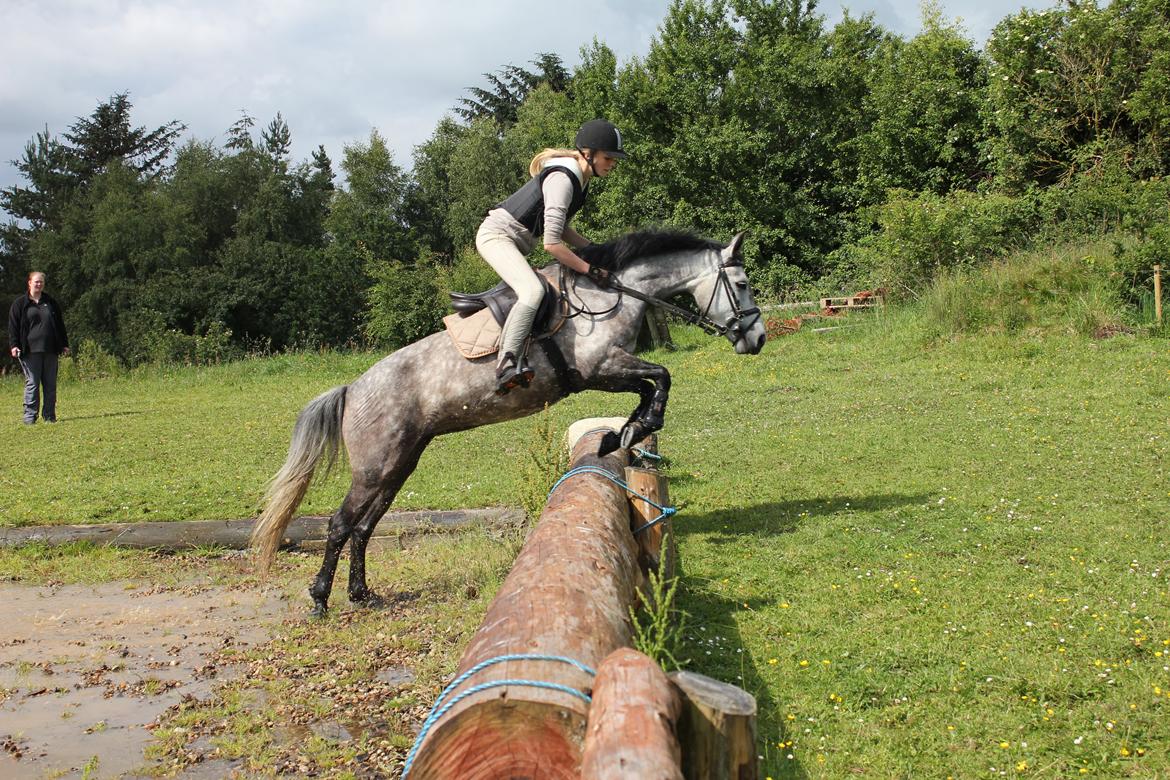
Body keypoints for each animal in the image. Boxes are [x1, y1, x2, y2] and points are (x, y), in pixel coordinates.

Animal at [253, 229, 767, 617]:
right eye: (742, 284)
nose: (758, 339)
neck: (613, 294)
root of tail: (352, 389)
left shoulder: (610, 370)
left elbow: (650, 385)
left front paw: (622, 434)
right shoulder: (599, 368)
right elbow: (660, 376)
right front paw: (634, 428)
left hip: (399, 464)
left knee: (364, 527)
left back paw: (362, 595)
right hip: (375, 466)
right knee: (340, 525)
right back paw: (320, 600)